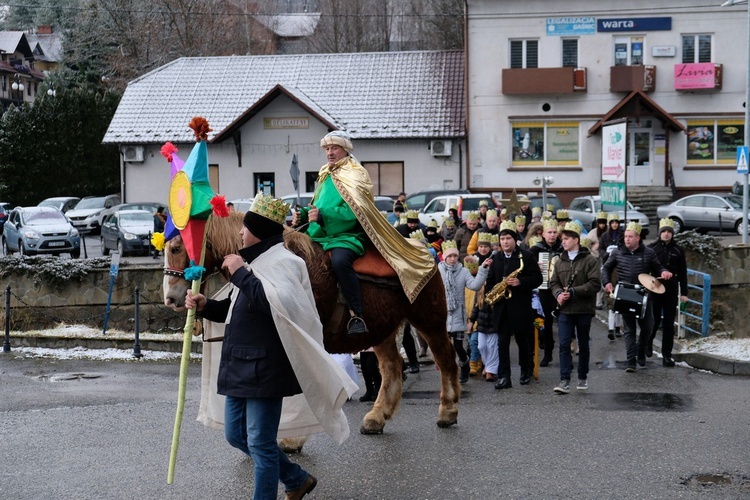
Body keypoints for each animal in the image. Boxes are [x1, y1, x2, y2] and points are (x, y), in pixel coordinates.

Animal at [162, 213, 462, 436]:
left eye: (176, 247)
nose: (171, 298)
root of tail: (424, 250)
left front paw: (290, 439)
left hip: (429, 320)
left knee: (446, 358)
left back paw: (448, 411)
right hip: (382, 329)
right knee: (391, 367)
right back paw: (377, 417)